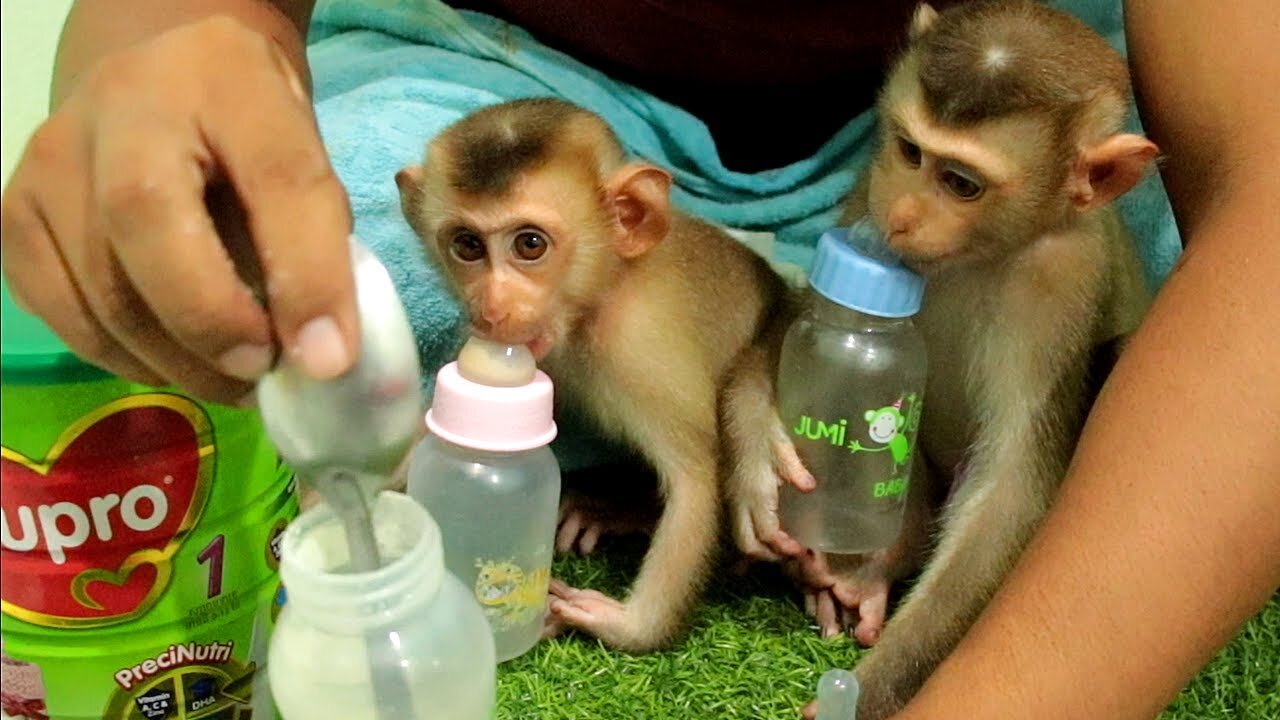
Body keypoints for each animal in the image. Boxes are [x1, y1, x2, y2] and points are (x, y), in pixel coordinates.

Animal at [394, 96, 788, 650]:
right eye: (468, 245)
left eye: (530, 244)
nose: (491, 308)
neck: (601, 291)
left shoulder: (638, 348)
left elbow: (696, 477)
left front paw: (631, 627)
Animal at [727, 2, 1157, 712]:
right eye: (910, 151)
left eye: (961, 183)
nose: (901, 216)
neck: (979, 255)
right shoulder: (865, 198)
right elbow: (802, 320)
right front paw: (758, 454)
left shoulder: (1062, 280)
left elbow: (1011, 490)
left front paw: (868, 692)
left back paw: (876, 567)